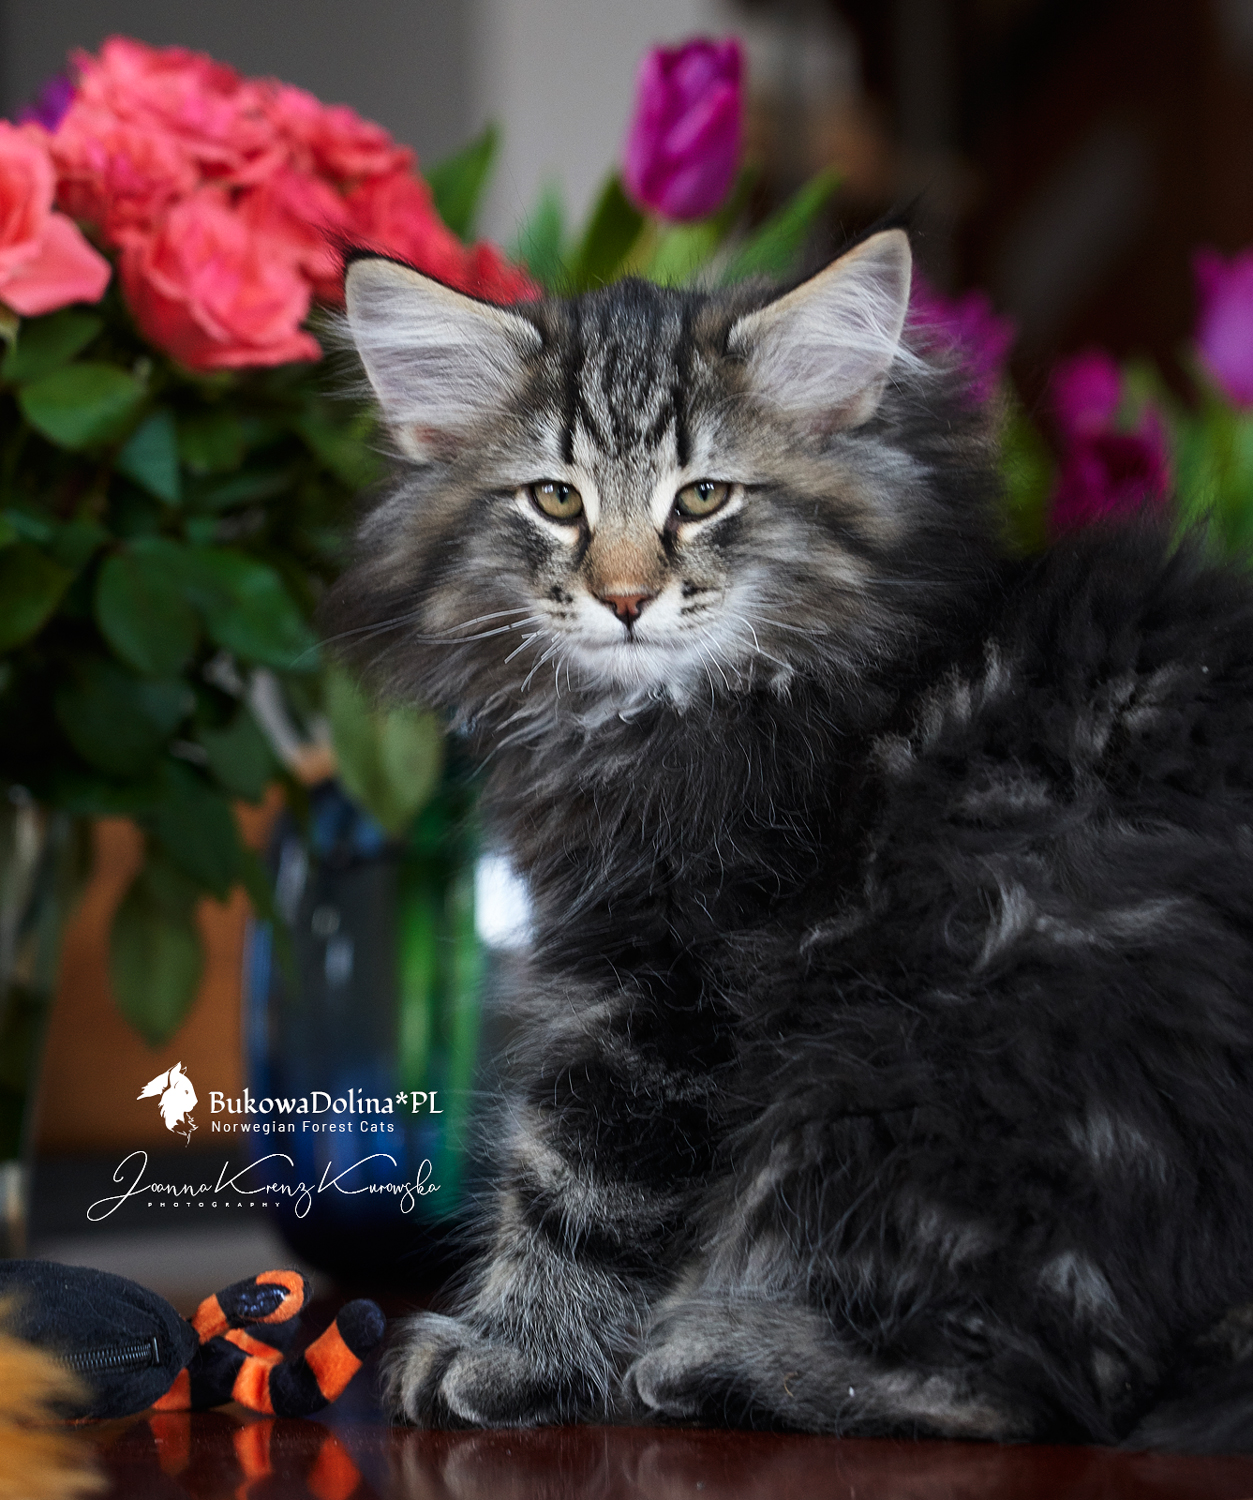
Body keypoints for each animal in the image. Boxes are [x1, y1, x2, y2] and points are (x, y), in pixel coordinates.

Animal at [330, 229, 1253, 1450]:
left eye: (703, 496)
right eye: (556, 499)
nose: (624, 597)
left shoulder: (673, 980)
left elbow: (582, 1180)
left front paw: (515, 1355)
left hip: (915, 1063)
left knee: (1033, 1384)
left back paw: (718, 1357)